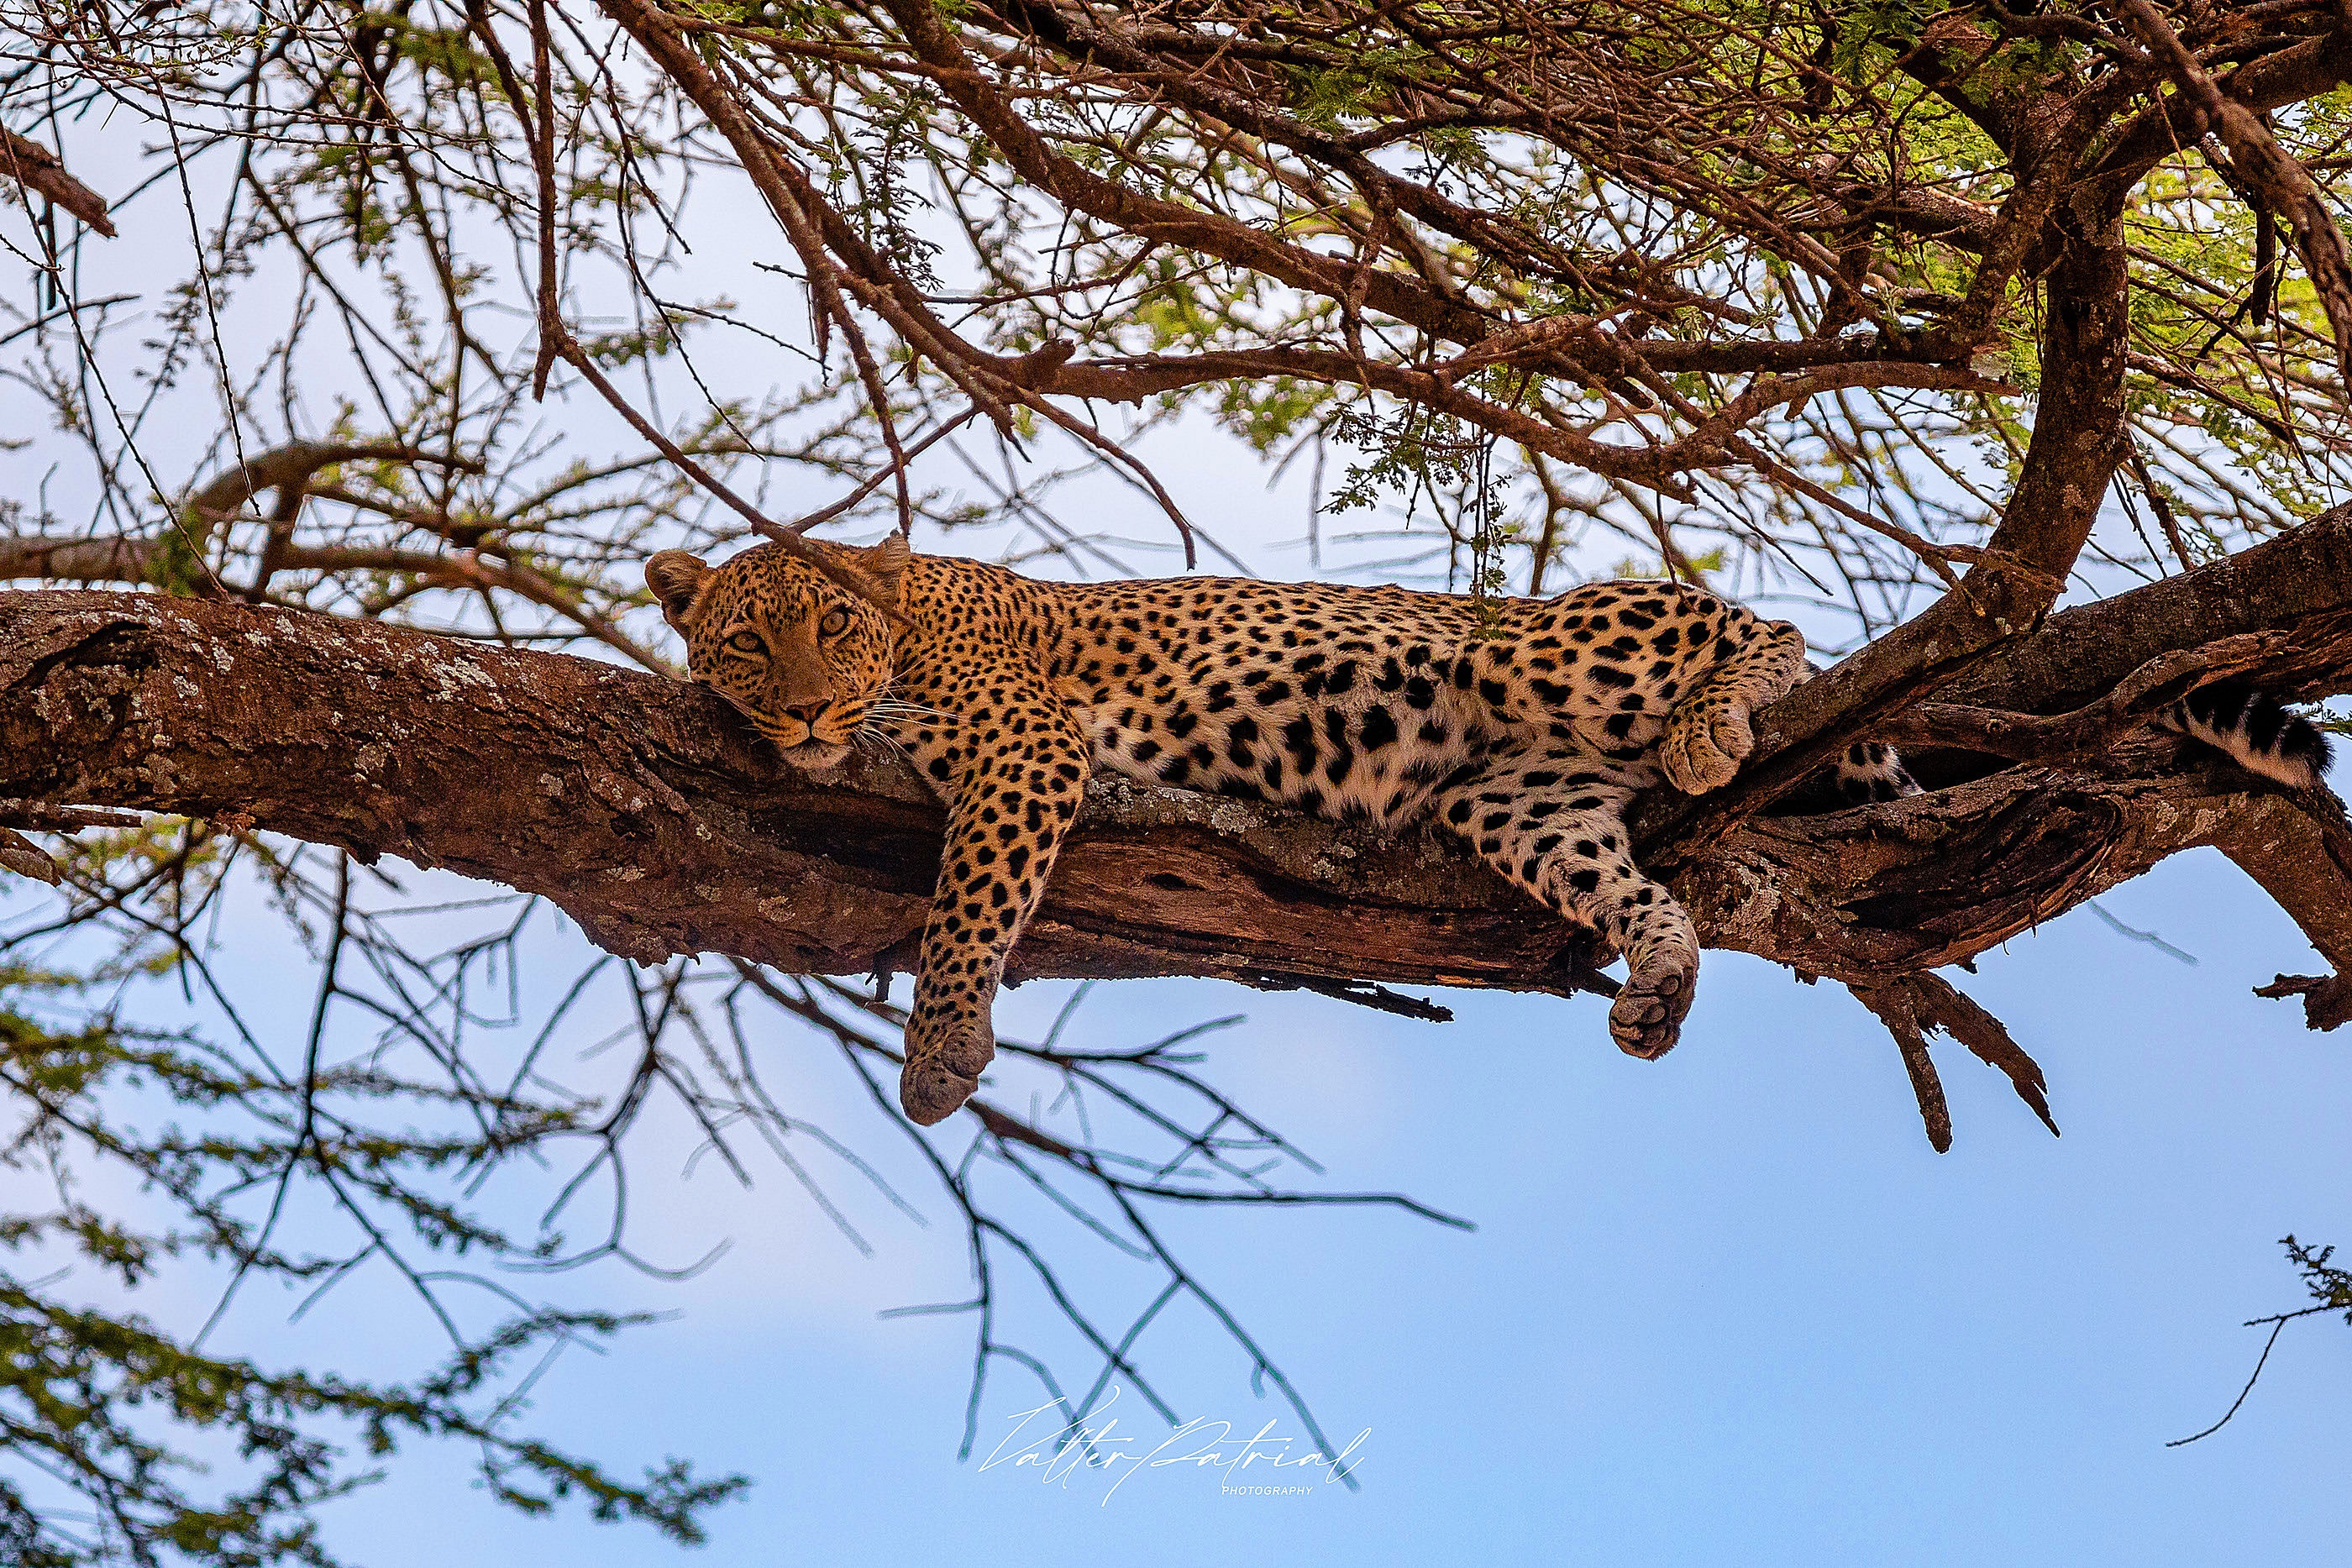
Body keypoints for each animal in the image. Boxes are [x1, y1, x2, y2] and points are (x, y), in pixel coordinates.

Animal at [648, 540, 1947, 1128]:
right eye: (748, 642)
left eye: (831, 625)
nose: (805, 711)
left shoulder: (1023, 743)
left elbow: (968, 902)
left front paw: (940, 1048)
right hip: (1520, 798)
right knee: (1630, 880)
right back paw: (1659, 980)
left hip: (1538, 645)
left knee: (1763, 626)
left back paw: (1720, 719)